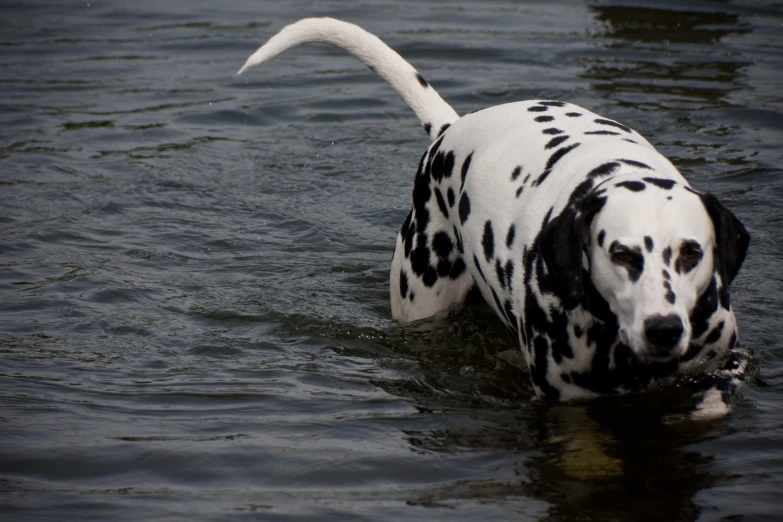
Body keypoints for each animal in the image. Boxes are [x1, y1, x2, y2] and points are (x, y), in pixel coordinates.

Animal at [240, 18, 752, 414]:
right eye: (621, 254)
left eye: (691, 253)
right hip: (423, 302)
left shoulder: (723, 364)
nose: (663, 328)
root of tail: (450, 129)